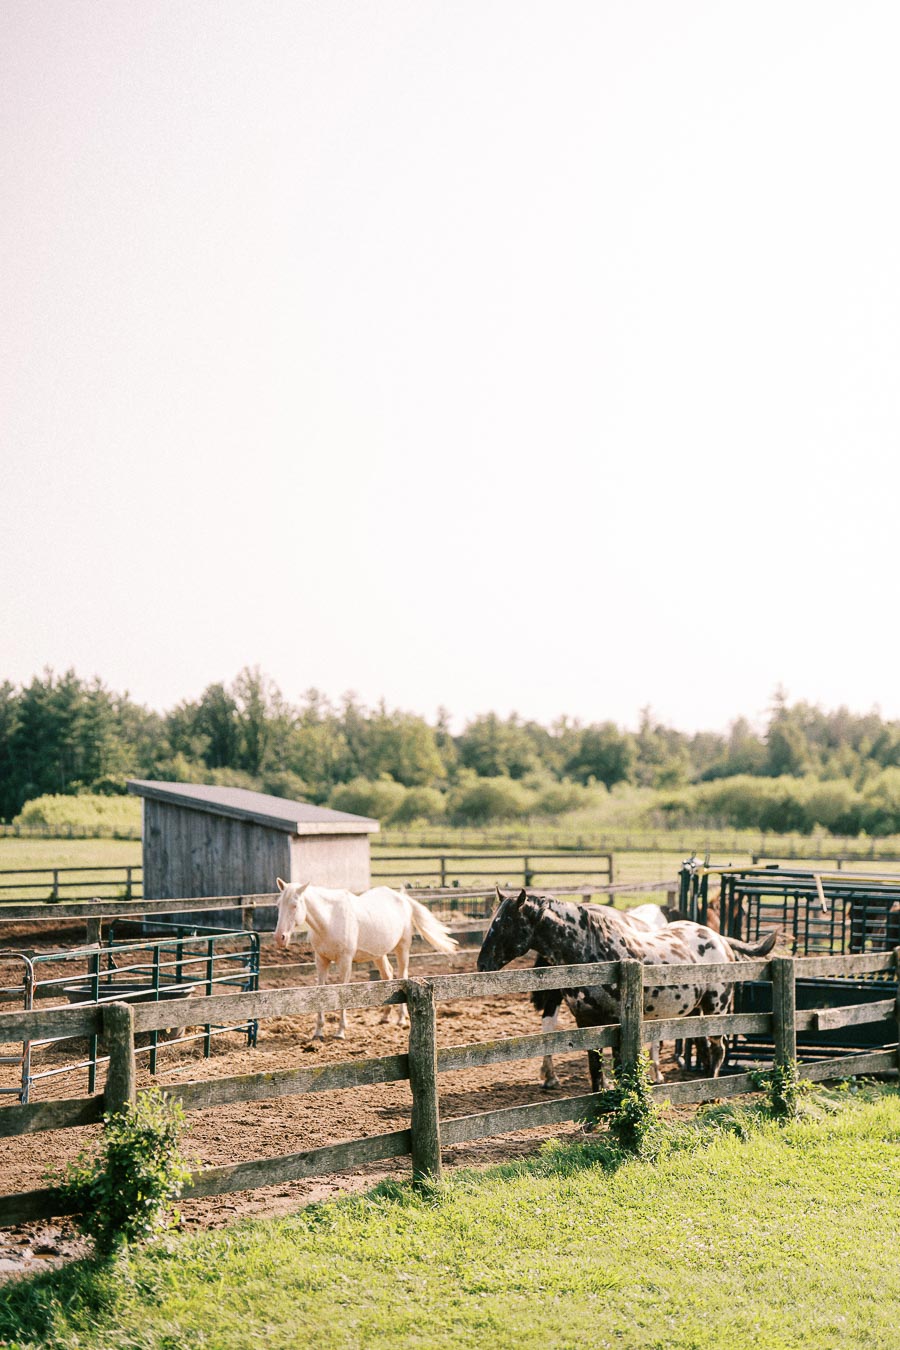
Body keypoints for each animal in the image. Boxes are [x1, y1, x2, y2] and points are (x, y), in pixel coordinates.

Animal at [274, 879, 458, 1039]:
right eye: (278, 905)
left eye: (294, 905)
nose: (279, 937)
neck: (330, 919)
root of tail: (403, 898)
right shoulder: (321, 960)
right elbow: (320, 992)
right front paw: (318, 1032)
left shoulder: (345, 962)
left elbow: (342, 993)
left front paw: (340, 1032)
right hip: (378, 954)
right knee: (387, 975)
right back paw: (385, 1017)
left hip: (402, 949)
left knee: (402, 976)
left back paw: (400, 1019)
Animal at [477, 888, 776, 1091]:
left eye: (507, 923)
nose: (482, 964)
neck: (592, 951)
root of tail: (719, 938)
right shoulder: (587, 1022)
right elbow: (595, 1068)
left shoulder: (616, 1022)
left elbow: (621, 1066)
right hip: (693, 1012)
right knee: (704, 1046)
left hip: (716, 1008)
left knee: (717, 1049)